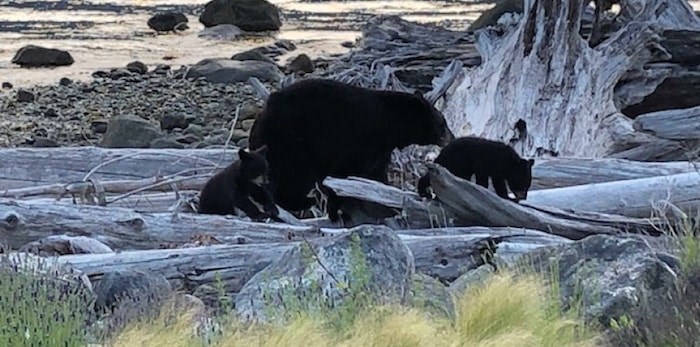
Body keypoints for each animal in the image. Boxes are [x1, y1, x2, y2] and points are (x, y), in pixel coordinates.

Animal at [246, 77, 454, 222]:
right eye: (442, 122)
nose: (451, 137)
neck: (390, 123)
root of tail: (261, 117)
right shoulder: (357, 141)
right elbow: (347, 174)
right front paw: (338, 207)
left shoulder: (379, 149)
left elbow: (375, 175)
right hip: (288, 142)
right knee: (292, 177)